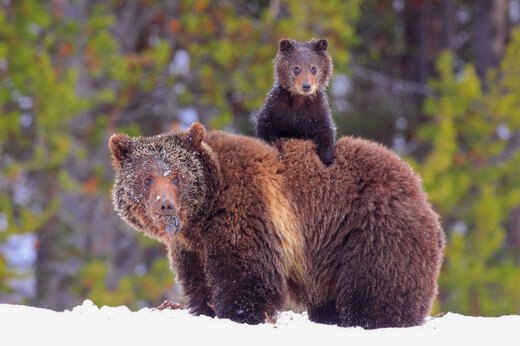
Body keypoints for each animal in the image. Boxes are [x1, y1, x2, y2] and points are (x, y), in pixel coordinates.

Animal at [108, 123, 442, 328]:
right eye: (147, 177)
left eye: (176, 176)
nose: (164, 205)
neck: (203, 214)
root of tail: (417, 185)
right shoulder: (191, 247)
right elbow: (197, 281)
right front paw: (204, 308)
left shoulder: (246, 211)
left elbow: (245, 275)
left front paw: (241, 314)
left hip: (369, 231)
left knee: (378, 288)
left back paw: (377, 320)